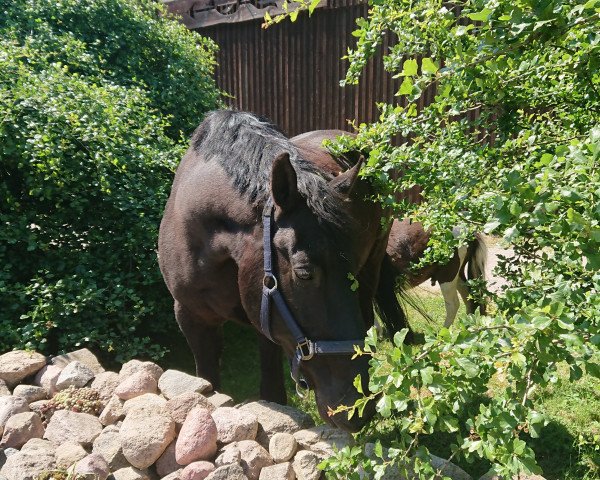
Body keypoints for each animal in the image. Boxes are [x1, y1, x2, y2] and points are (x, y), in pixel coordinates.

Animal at [158, 111, 398, 432]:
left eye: (350, 271)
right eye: (304, 273)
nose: (359, 407)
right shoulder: (194, 318)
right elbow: (207, 385)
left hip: (373, 267)